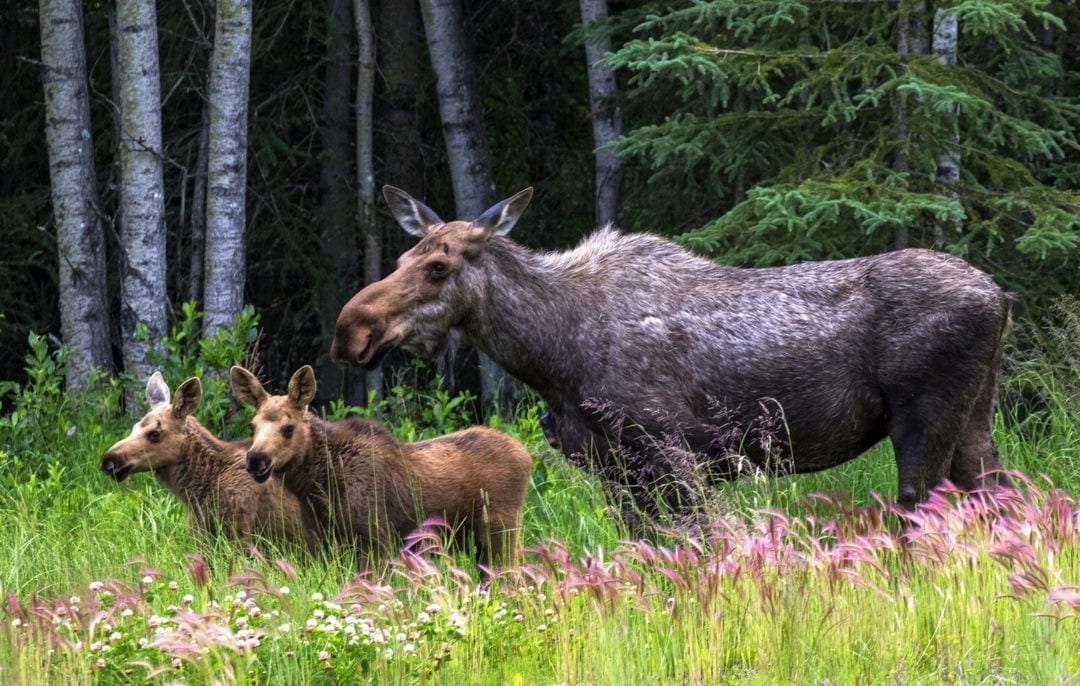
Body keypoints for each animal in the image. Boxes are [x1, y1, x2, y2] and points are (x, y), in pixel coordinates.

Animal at [100, 373, 319, 557]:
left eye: (155, 434)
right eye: (134, 427)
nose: (109, 461)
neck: (198, 492)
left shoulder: (240, 532)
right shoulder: (202, 536)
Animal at [230, 365, 533, 570]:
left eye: (289, 427)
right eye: (253, 426)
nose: (256, 459)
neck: (316, 487)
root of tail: (527, 456)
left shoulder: (374, 537)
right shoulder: (327, 541)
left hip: (500, 529)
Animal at [330, 184, 1010, 518]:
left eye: (439, 266)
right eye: (403, 256)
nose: (350, 330)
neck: (548, 355)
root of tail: (1002, 296)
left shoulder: (672, 449)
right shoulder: (610, 466)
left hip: (924, 418)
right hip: (975, 420)